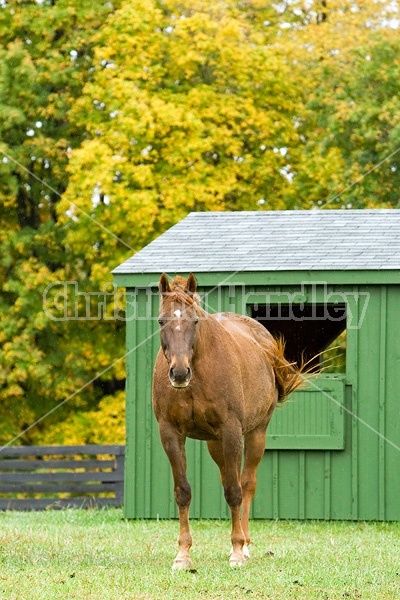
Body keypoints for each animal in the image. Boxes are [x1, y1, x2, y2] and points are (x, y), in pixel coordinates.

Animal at [153, 274, 304, 568]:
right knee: (227, 476)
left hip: (256, 433)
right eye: (161, 321)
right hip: (215, 443)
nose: (179, 373)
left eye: (195, 321)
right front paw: (183, 554)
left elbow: (235, 490)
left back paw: (244, 544)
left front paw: (236, 550)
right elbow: (183, 491)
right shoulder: (170, 433)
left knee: (246, 483)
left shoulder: (232, 431)